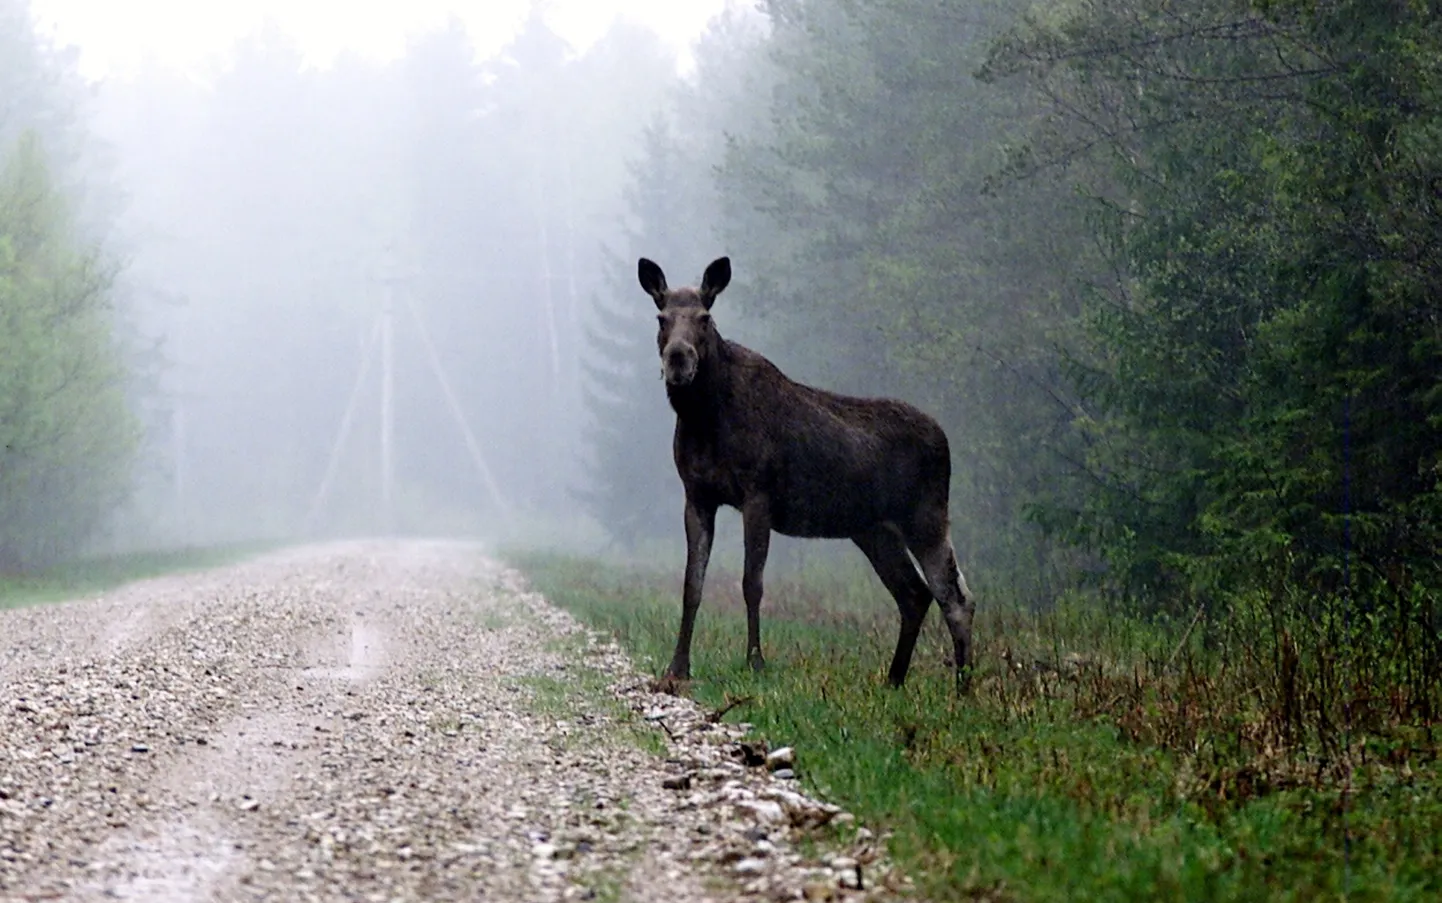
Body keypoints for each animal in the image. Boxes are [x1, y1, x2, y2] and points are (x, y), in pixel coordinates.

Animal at [643, 256, 980, 692]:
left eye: (704, 317)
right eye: (661, 317)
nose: (678, 358)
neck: (704, 418)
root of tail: (945, 440)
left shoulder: (758, 494)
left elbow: (752, 583)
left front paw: (756, 663)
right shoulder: (698, 495)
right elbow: (691, 584)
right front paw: (677, 667)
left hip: (926, 517)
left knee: (956, 598)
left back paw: (963, 689)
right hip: (874, 529)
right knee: (915, 594)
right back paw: (893, 680)